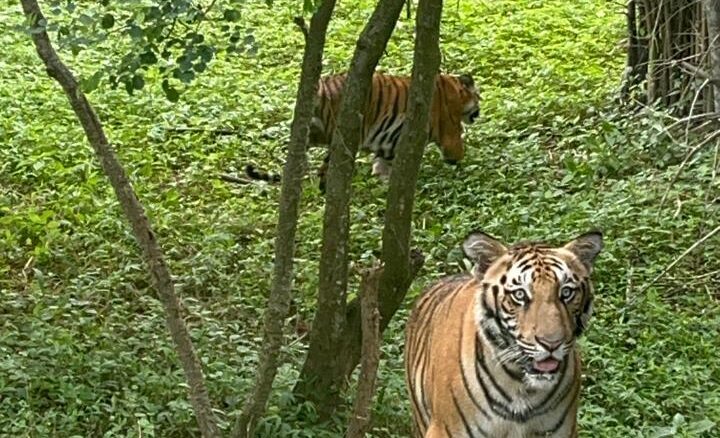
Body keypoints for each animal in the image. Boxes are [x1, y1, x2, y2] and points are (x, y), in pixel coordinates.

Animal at [245, 71, 480, 191]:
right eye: (479, 96)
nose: (479, 112)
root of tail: (322, 86)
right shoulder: (450, 133)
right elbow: (458, 153)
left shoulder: (388, 142)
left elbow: (383, 164)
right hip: (342, 137)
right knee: (325, 170)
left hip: (310, 131)